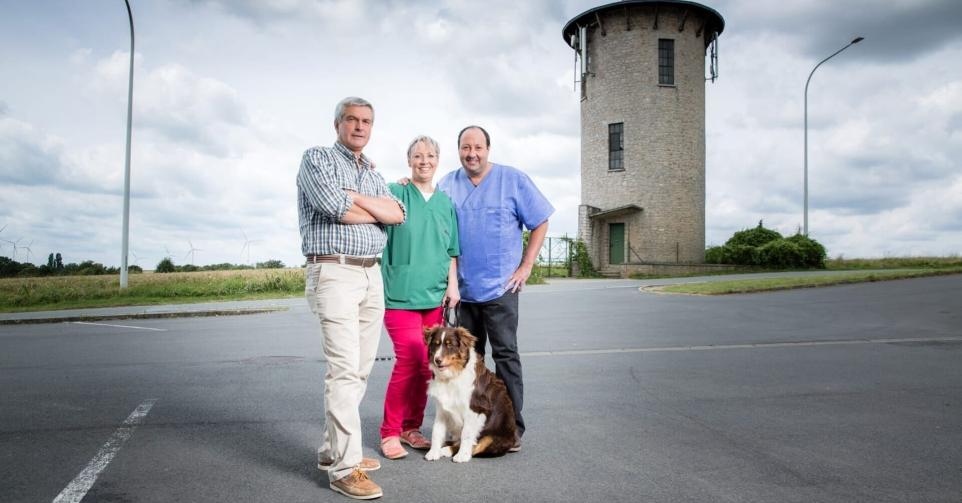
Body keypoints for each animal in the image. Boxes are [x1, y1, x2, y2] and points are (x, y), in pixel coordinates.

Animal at [423, 325, 517, 463]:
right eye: (436, 344)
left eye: (450, 345)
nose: (437, 360)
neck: (452, 376)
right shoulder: (441, 409)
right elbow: (437, 431)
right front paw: (433, 452)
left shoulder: (475, 409)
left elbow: (466, 434)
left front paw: (462, 455)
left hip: (493, 436)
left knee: (477, 445)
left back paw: (449, 450)